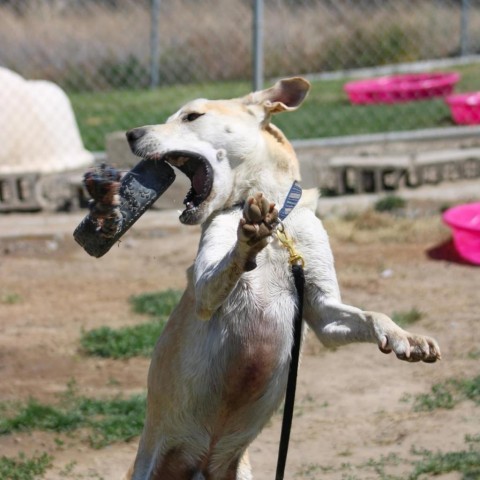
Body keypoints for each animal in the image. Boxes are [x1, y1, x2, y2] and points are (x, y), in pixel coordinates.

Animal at [124, 77, 442, 478]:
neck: (278, 223)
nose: (130, 134)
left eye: (191, 116)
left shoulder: (323, 311)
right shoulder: (204, 291)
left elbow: (373, 315)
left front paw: (406, 338)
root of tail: (201, 464)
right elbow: (226, 266)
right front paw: (247, 240)